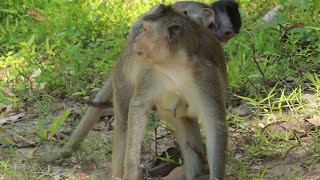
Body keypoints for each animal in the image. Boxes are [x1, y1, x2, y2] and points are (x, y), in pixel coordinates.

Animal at [114, 4, 226, 179]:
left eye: (146, 30)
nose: (137, 39)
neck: (176, 65)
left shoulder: (207, 77)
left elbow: (214, 126)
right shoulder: (150, 72)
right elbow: (138, 108)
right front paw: (131, 169)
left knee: (187, 124)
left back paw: (194, 174)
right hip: (121, 78)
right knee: (124, 123)